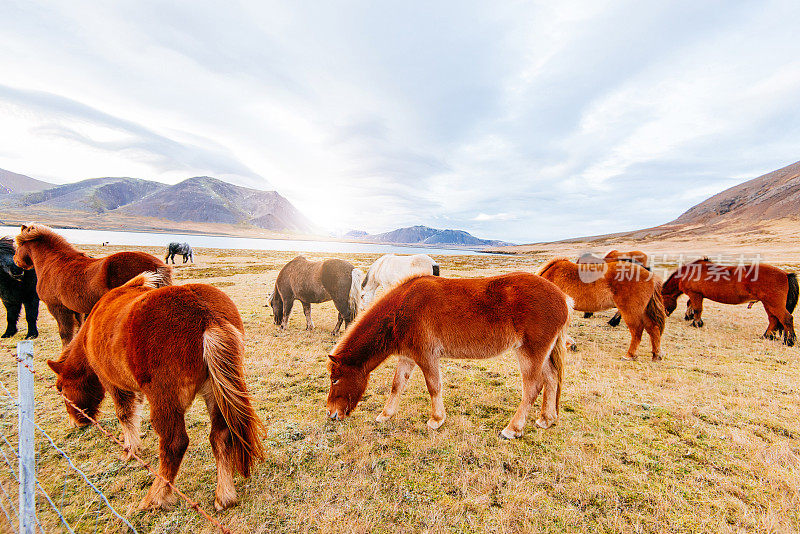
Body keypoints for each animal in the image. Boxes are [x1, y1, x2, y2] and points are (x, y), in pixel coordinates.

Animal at [12, 225, 172, 348]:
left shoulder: (58, 308)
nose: (16, 262)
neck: (52, 263)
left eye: (18, 245)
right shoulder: (76, 310)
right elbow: (77, 332)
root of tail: (155, 264)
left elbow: (65, 335)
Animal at [46, 274, 266, 512]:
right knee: (221, 437)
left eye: (61, 388)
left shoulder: (113, 384)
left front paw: (129, 450)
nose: (76, 423)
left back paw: (156, 497)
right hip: (215, 394)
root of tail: (206, 315)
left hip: (166, 400)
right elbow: (134, 413)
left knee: (174, 444)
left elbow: (125, 415)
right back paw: (224, 497)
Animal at [324, 274, 568, 442]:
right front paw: (386, 415)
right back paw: (546, 419)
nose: (331, 413)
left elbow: (434, 386)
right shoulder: (407, 358)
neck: (401, 309)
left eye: (335, 379)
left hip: (530, 353)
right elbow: (397, 385)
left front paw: (436, 420)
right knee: (551, 379)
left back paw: (513, 429)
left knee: (533, 388)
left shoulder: (426, 356)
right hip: (542, 355)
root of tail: (564, 298)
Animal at [660, 260, 796, 348]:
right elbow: (691, 305)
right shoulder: (697, 295)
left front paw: (696, 323)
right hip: (767, 304)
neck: (689, 272)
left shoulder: (695, 294)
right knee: (773, 320)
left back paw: (789, 341)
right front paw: (690, 317)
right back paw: (766, 336)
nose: (665, 314)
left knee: (786, 318)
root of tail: (785, 274)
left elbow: (697, 309)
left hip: (773, 304)